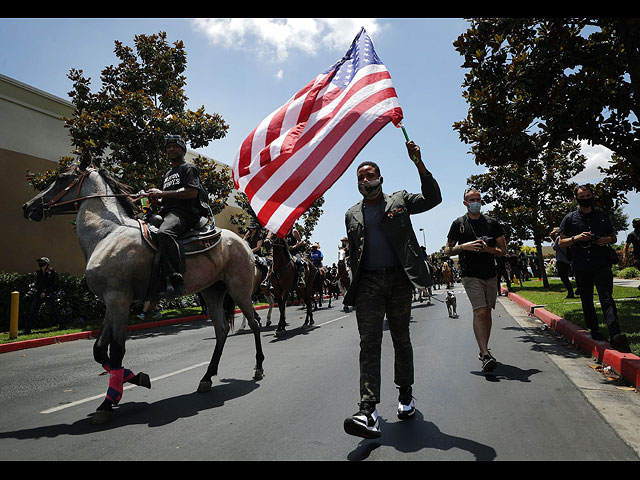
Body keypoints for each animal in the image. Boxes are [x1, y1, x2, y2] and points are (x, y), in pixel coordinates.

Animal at [21, 155, 262, 424]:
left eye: (62, 178)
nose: (28, 207)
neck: (107, 233)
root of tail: (243, 242)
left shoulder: (119, 300)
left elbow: (116, 350)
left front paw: (108, 402)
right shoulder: (111, 301)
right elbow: (99, 351)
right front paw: (135, 378)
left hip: (239, 290)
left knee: (254, 323)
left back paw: (258, 367)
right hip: (211, 292)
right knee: (221, 331)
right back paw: (207, 377)